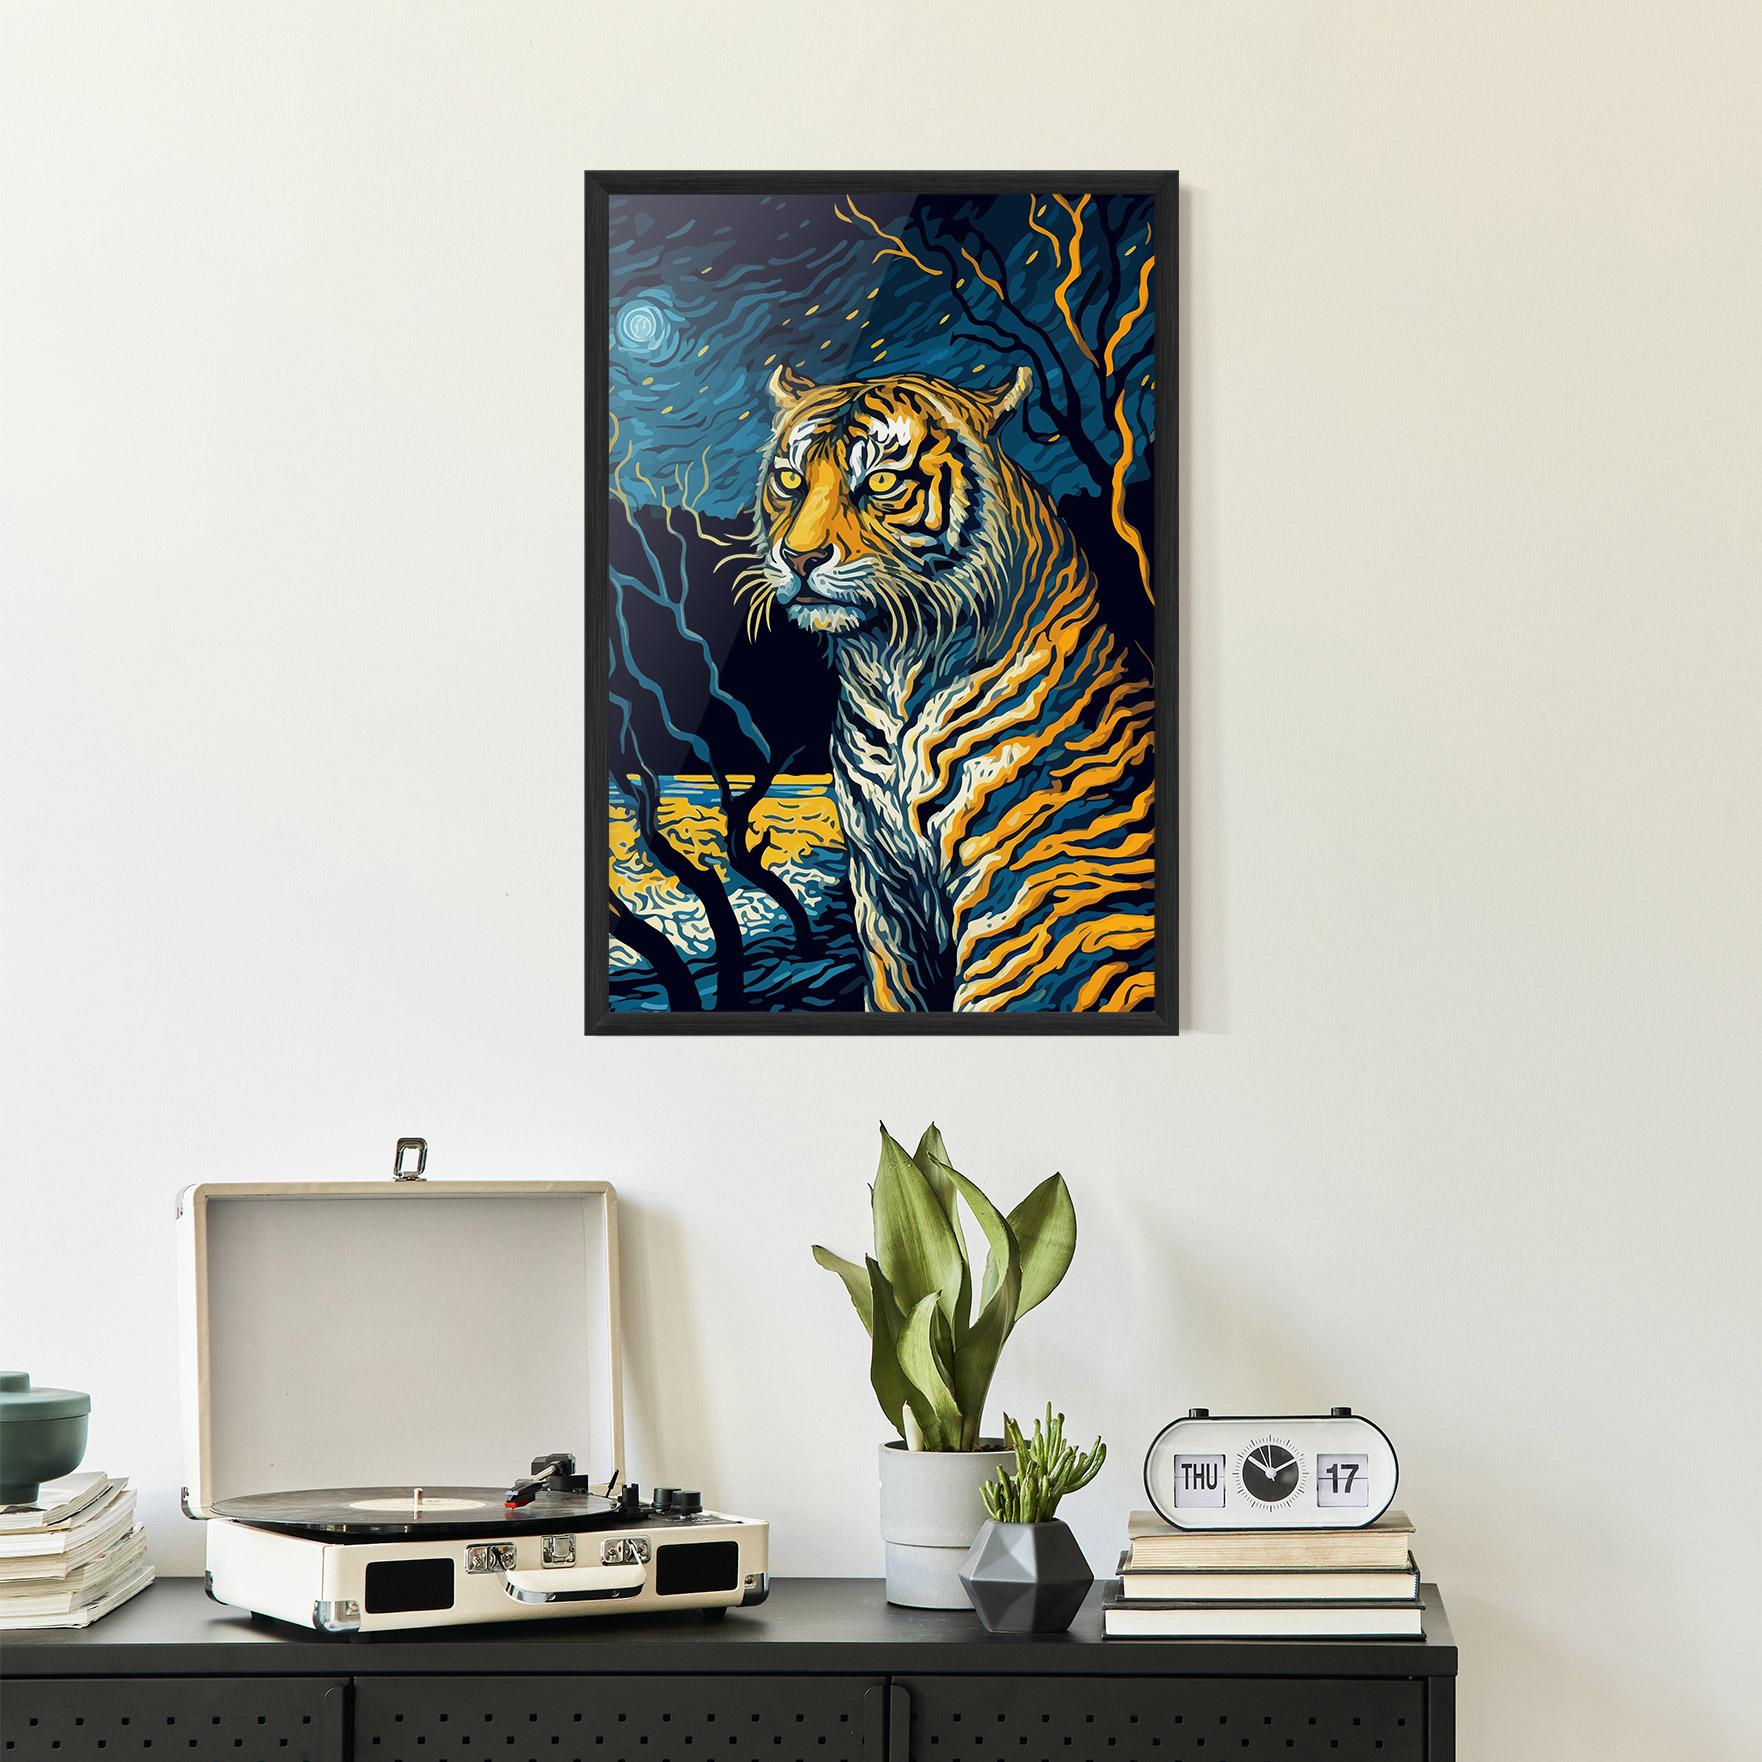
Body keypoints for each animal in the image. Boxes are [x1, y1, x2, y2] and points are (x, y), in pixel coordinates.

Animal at [745, 363, 1156, 1013]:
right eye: (790, 481)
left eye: (880, 481)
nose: (800, 557)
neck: (886, 671)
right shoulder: (882, 882)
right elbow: (892, 987)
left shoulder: (1012, 890)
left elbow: (995, 990)